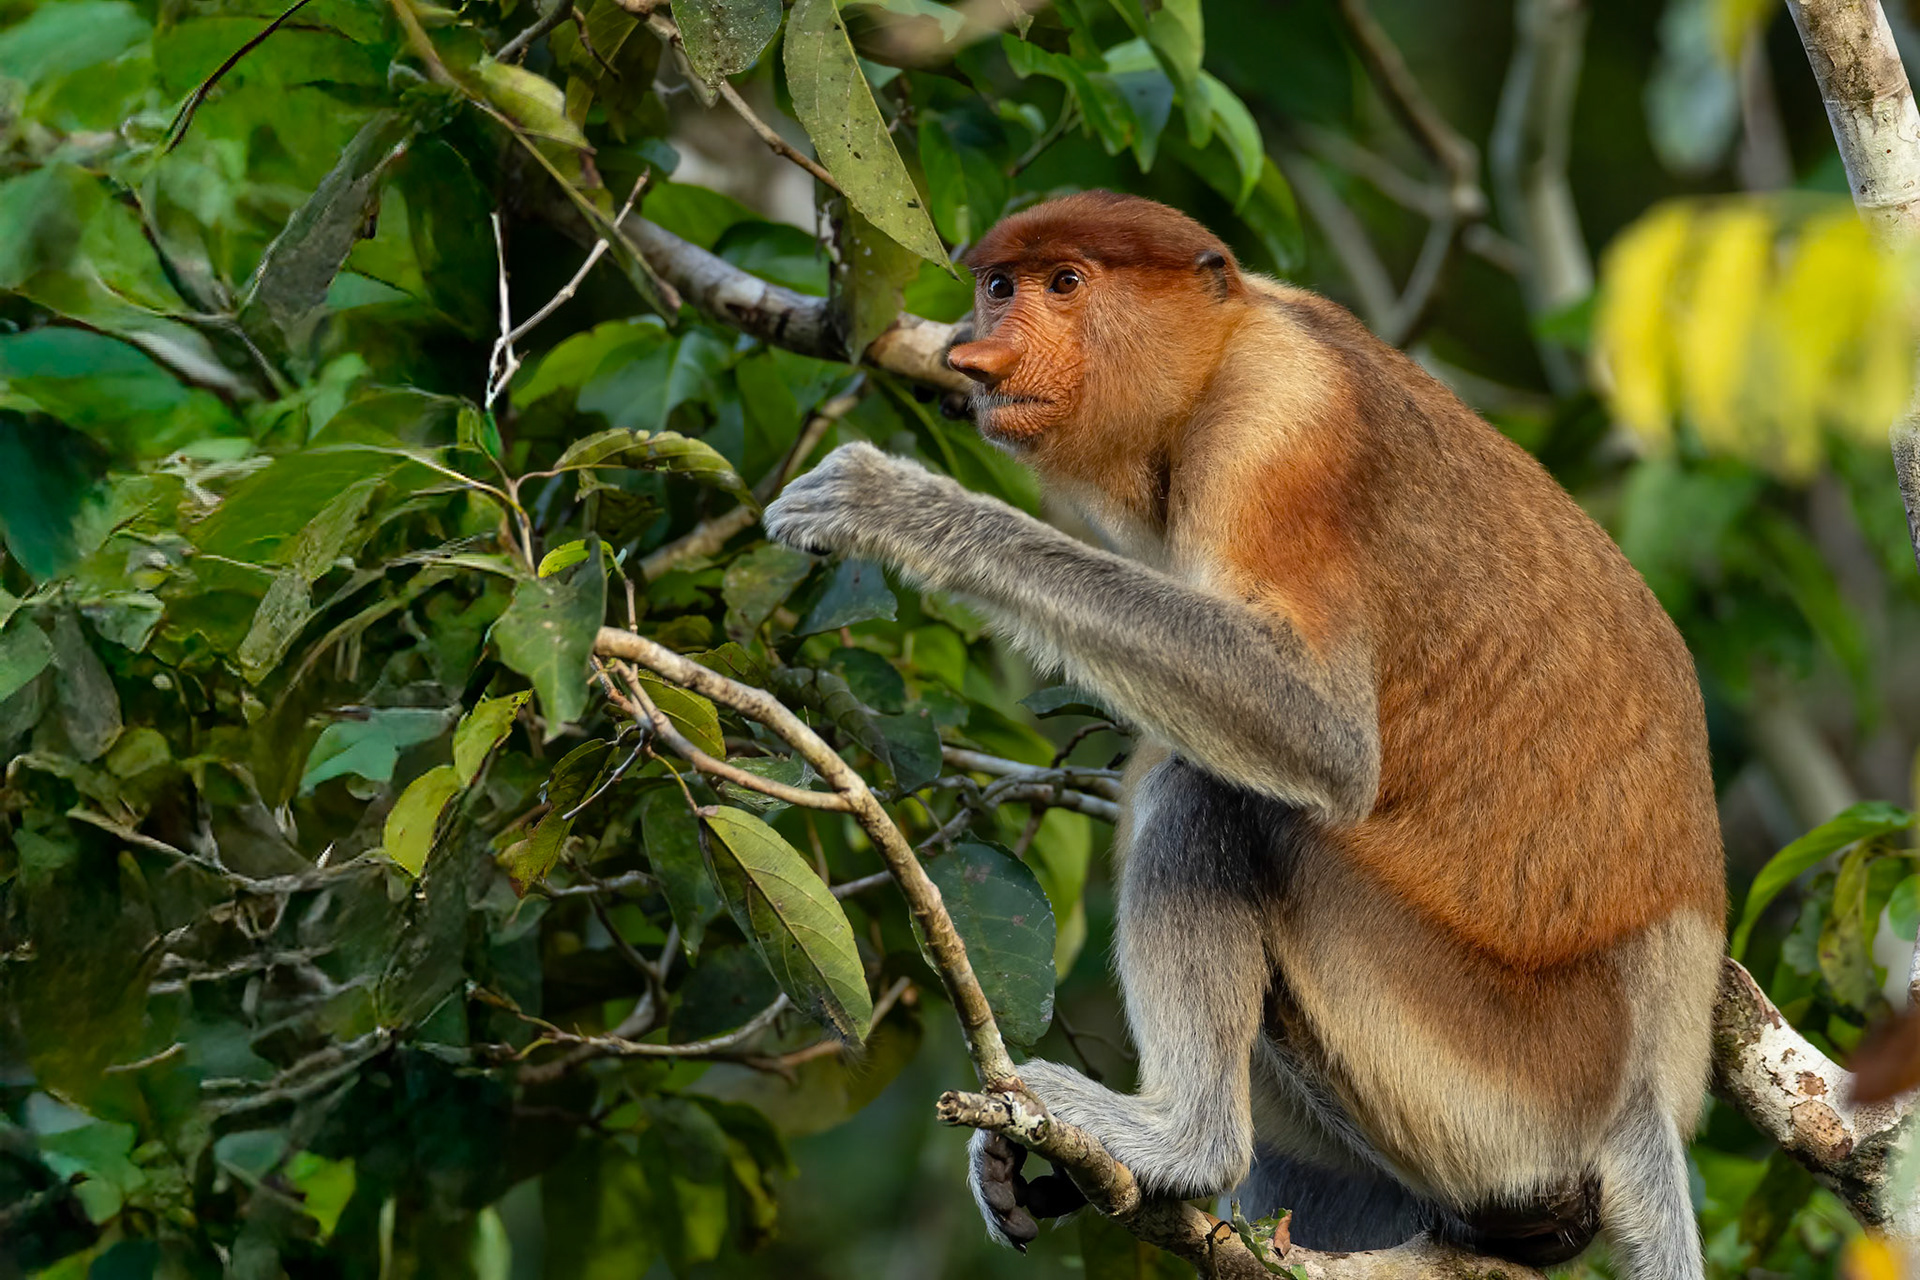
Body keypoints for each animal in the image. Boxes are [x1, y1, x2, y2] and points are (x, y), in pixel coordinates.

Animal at [761, 190, 1724, 1278]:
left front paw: (896, 508)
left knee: (1209, 790)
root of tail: (1647, 1088)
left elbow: (1316, 731)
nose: (979, 353)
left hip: (1495, 1077)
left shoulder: (1278, 433)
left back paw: (1180, 1140)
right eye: (999, 285)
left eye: (1065, 283)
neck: (1222, 350)